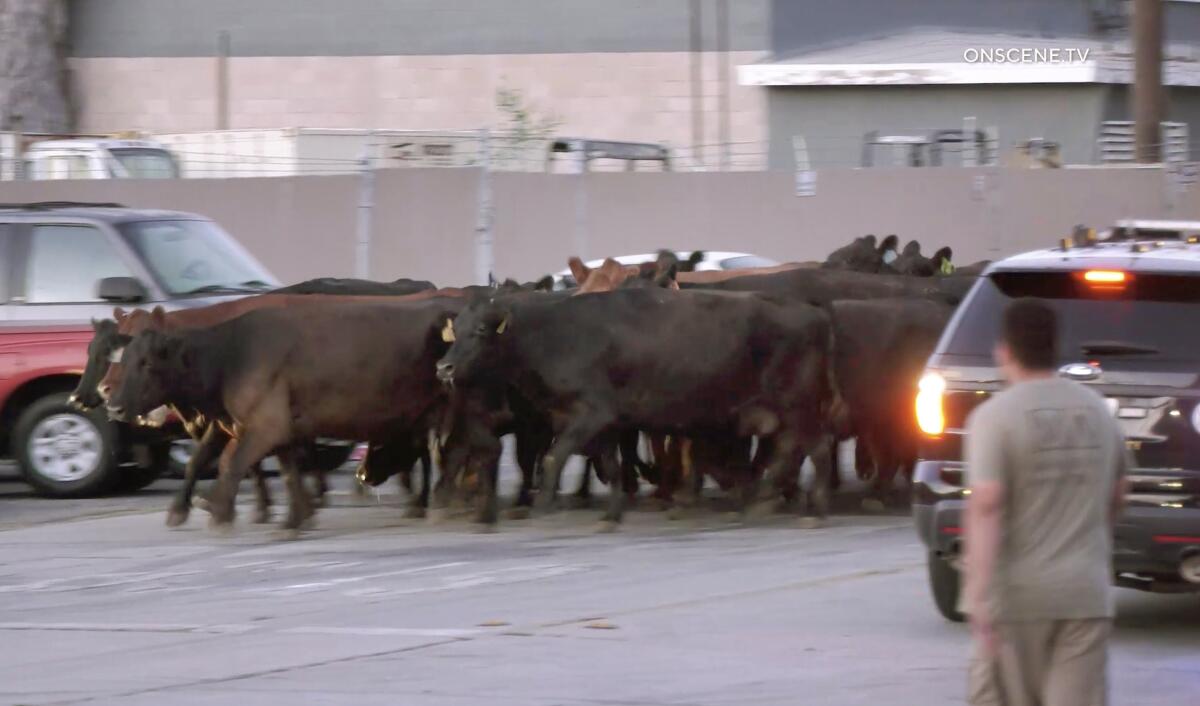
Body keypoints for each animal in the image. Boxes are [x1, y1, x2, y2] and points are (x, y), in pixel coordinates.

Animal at [436, 288, 840, 528]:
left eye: (481, 331)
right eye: (456, 328)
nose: (444, 367)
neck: (555, 335)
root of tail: (812, 312)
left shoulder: (590, 413)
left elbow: (554, 457)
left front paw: (544, 505)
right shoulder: (606, 423)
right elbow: (612, 465)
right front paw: (612, 515)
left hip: (799, 405)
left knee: (815, 448)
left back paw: (812, 509)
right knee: (792, 450)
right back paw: (766, 501)